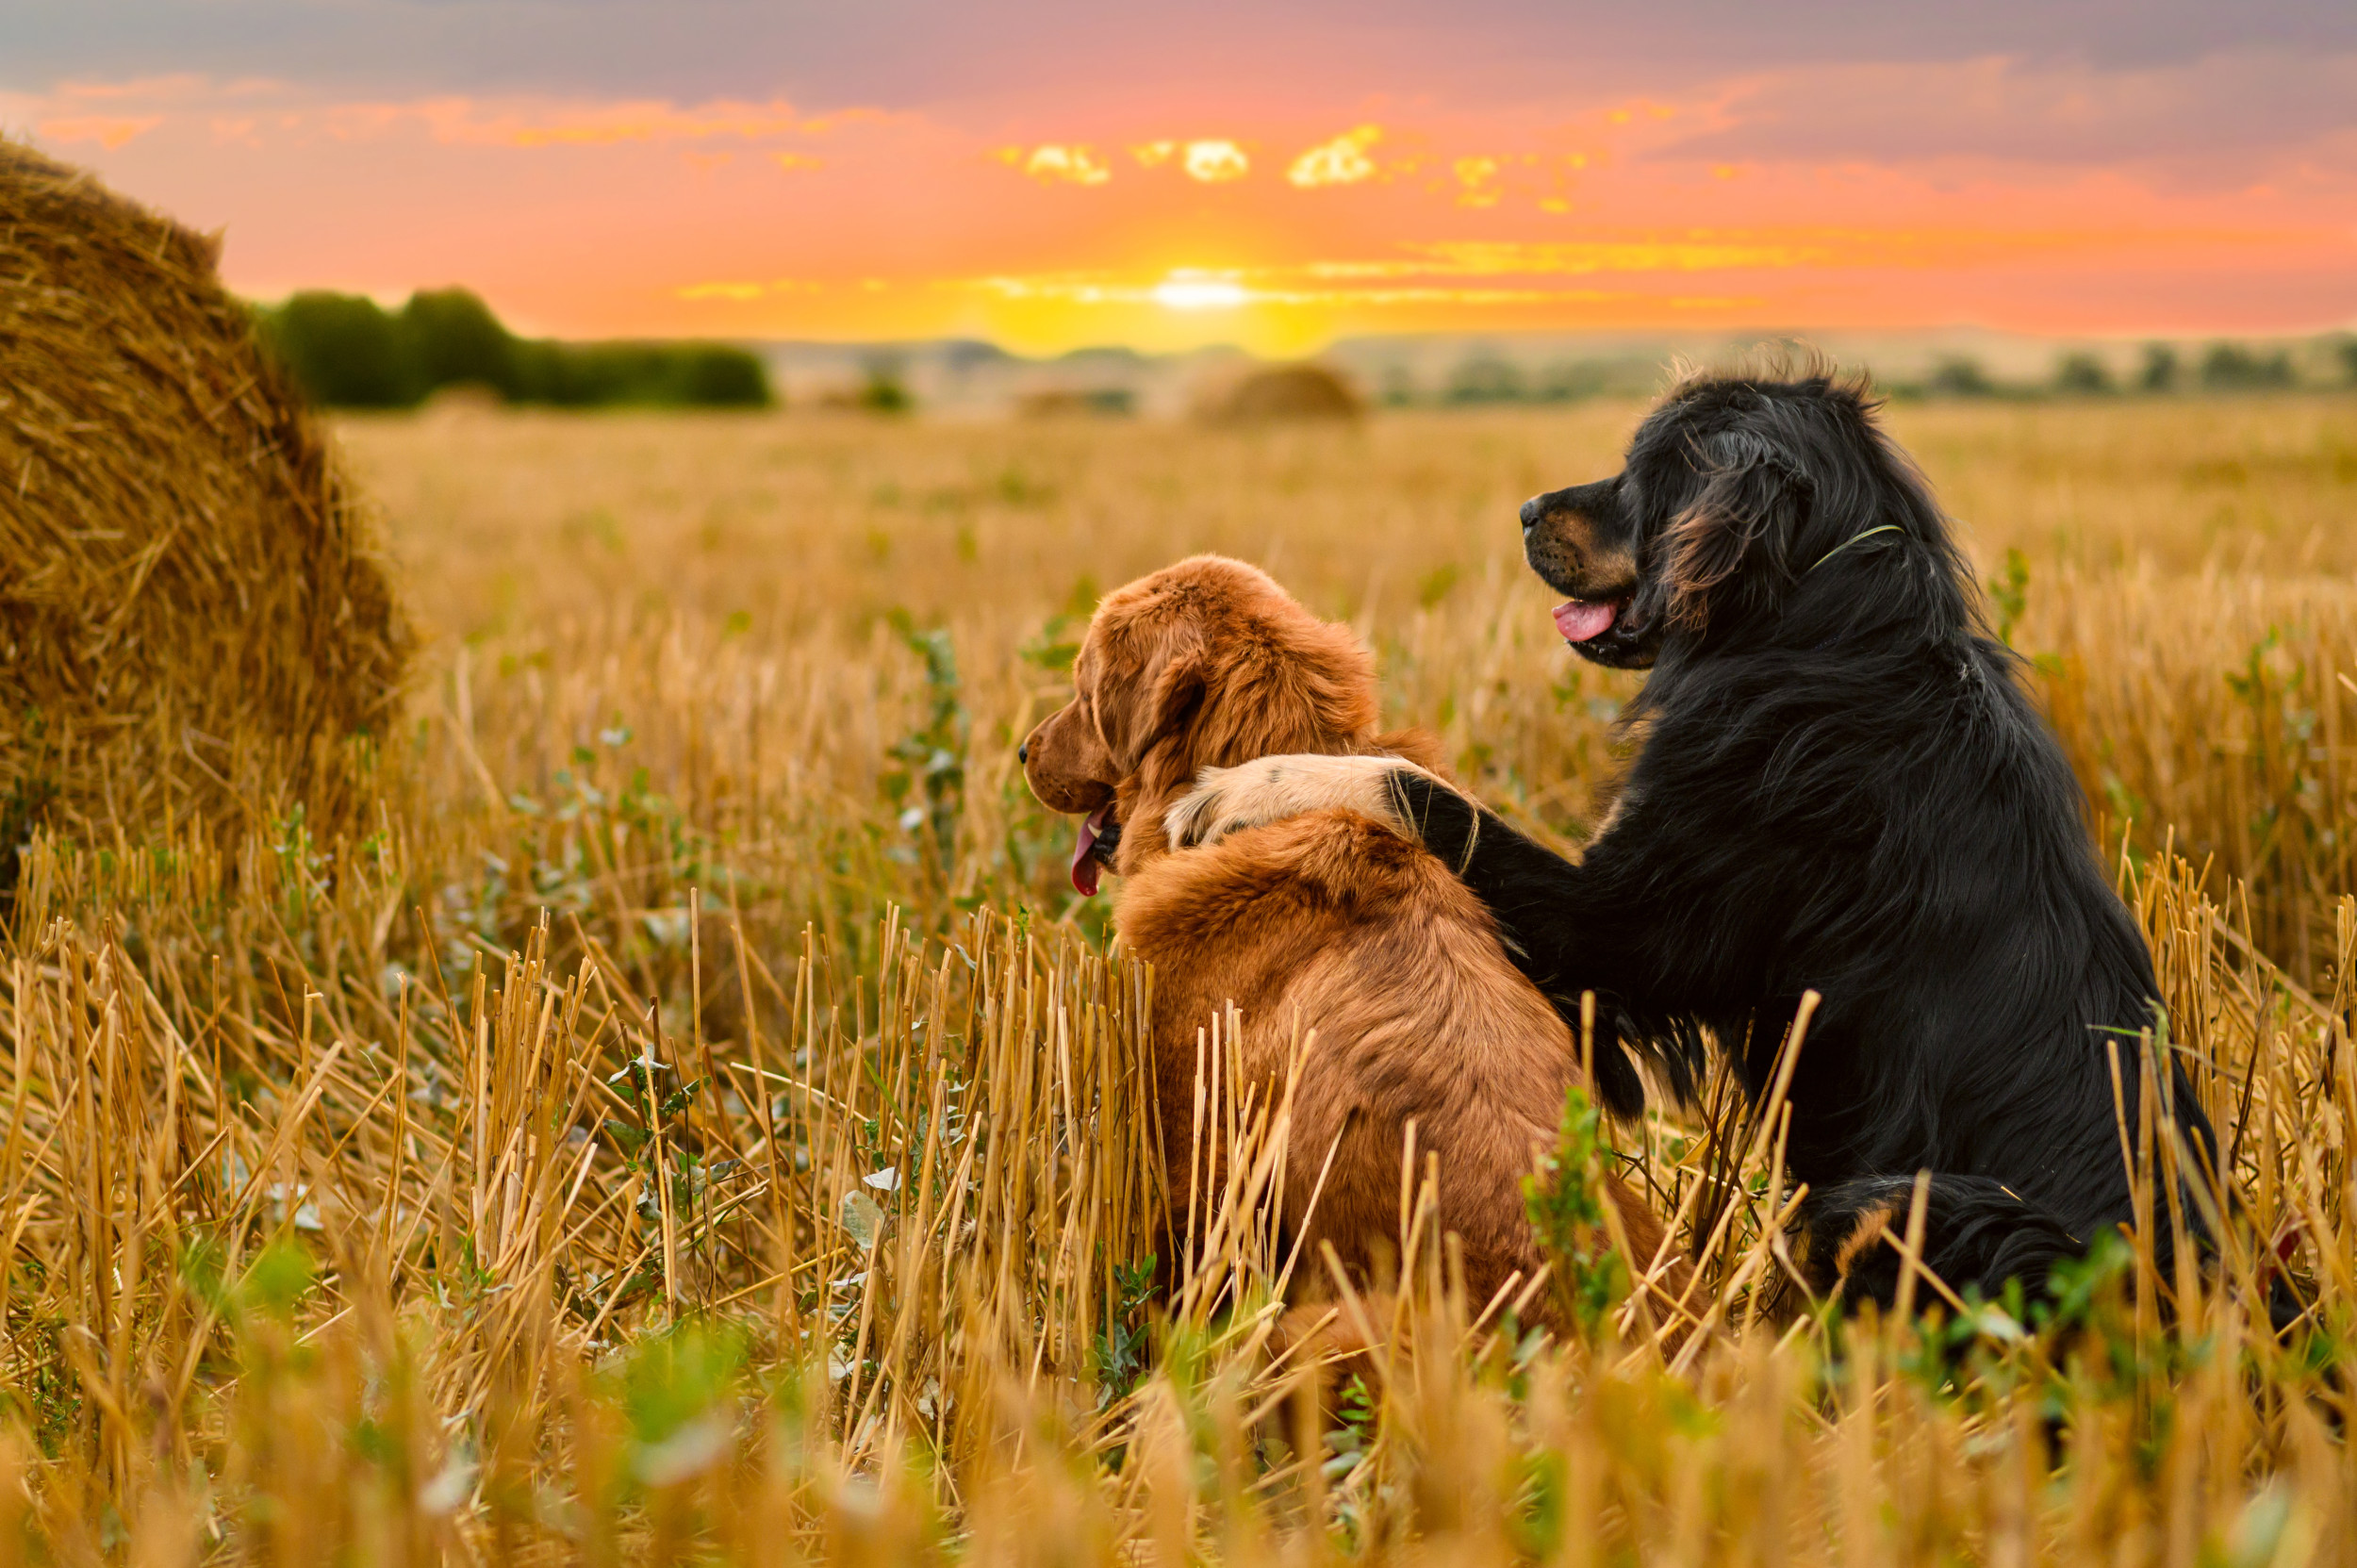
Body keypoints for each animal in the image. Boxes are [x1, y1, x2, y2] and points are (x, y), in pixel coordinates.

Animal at [1178, 368, 2225, 1311]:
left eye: (1645, 475)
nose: (1526, 509)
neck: (1818, 637)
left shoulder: (1624, 928)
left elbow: (1425, 794)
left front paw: (1250, 787)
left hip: (1922, 1203)